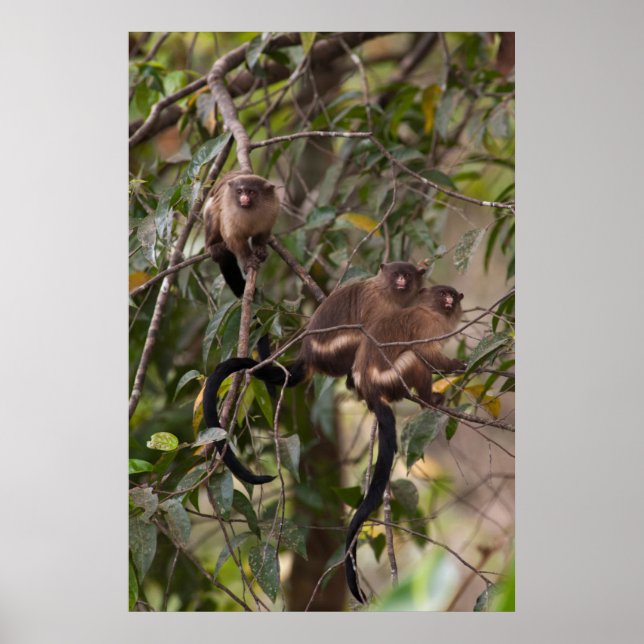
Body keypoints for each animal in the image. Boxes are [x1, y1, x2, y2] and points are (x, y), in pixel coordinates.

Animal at [344, 285, 465, 603]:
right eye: (443, 294)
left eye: (452, 295)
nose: (450, 300)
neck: (432, 311)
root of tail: (370, 388)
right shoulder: (427, 327)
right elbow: (426, 353)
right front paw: (458, 365)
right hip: (392, 378)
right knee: (414, 357)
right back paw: (428, 400)